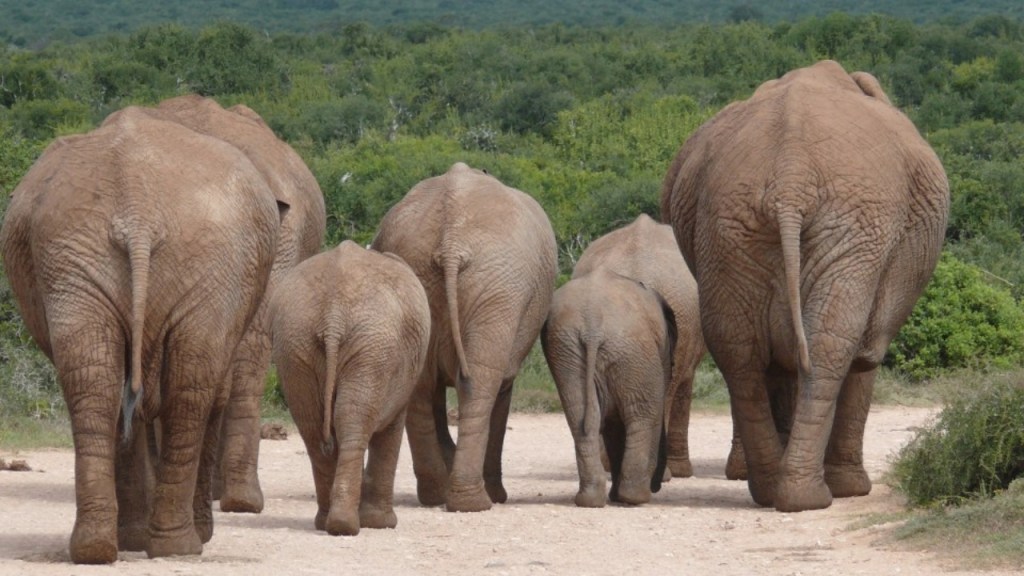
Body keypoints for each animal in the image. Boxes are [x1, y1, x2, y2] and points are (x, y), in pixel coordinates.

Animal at [0, 106, 283, 562]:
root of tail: (137, 210)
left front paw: (134, 540)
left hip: (74, 253)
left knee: (95, 379)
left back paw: (98, 548)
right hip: (204, 257)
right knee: (190, 388)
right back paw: (179, 546)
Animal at [269, 241, 430, 536]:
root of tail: (333, 315)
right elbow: (392, 428)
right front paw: (382, 524)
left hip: (295, 343)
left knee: (313, 429)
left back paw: (330, 523)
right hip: (371, 346)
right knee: (351, 423)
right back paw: (346, 524)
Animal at [371, 162, 558, 512]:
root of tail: (451, 243)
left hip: (426, 274)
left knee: (423, 385)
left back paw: (436, 496)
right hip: (499, 289)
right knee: (481, 383)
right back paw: (476, 502)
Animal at [541, 269, 675, 507]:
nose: (658, 485)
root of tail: (592, 327)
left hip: (568, 349)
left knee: (581, 417)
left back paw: (590, 500)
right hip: (631, 348)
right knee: (643, 414)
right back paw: (635, 497)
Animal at [660, 60, 949, 512]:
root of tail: (789, 179)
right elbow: (865, 353)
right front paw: (852, 490)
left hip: (728, 227)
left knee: (739, 348)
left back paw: (773, 492)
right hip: (855, 225)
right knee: (833, 343)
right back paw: (813, 496)